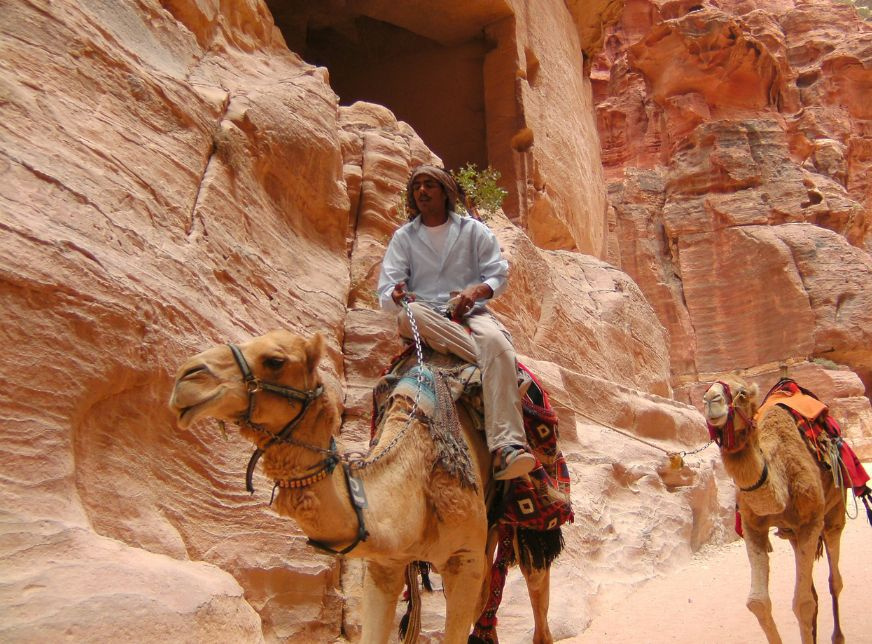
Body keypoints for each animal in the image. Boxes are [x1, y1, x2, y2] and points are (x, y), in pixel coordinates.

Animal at [702, 375, 846, 644]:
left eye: (742, 393)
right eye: (704, 392)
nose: (711, 400)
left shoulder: (811, 521)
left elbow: (802, 603)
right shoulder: (752, 526)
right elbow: (758, 603)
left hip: (834, 513)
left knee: (835, 580)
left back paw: (837, 636)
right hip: (792, 534)